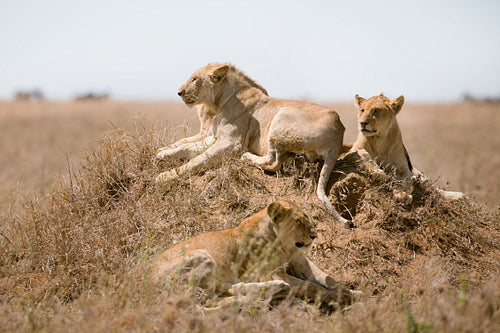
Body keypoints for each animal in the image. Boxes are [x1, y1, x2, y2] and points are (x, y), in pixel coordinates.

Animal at [152, 198, 356, 308]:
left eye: (308, 219)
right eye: (299, 221)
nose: (314, 236)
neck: (284, 245)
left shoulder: (301, 262)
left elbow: (328, 278)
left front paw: (353, 292)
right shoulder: (270, 272)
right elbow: (312, 286)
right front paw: (339, 298)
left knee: (225, 289)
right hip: (201, 255)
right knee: (207, 298)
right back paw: (271, 290)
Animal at [155, 63, 348, 226]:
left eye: (195, 79)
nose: (179, 92)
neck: (220, 100)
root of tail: (338, 133)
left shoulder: (231, 143)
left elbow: (198, 159)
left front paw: (165, 176)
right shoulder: (215, 138)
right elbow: (184, 147)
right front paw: (161, 153)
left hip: (282, 113)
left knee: (273, 162)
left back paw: (246, 157)